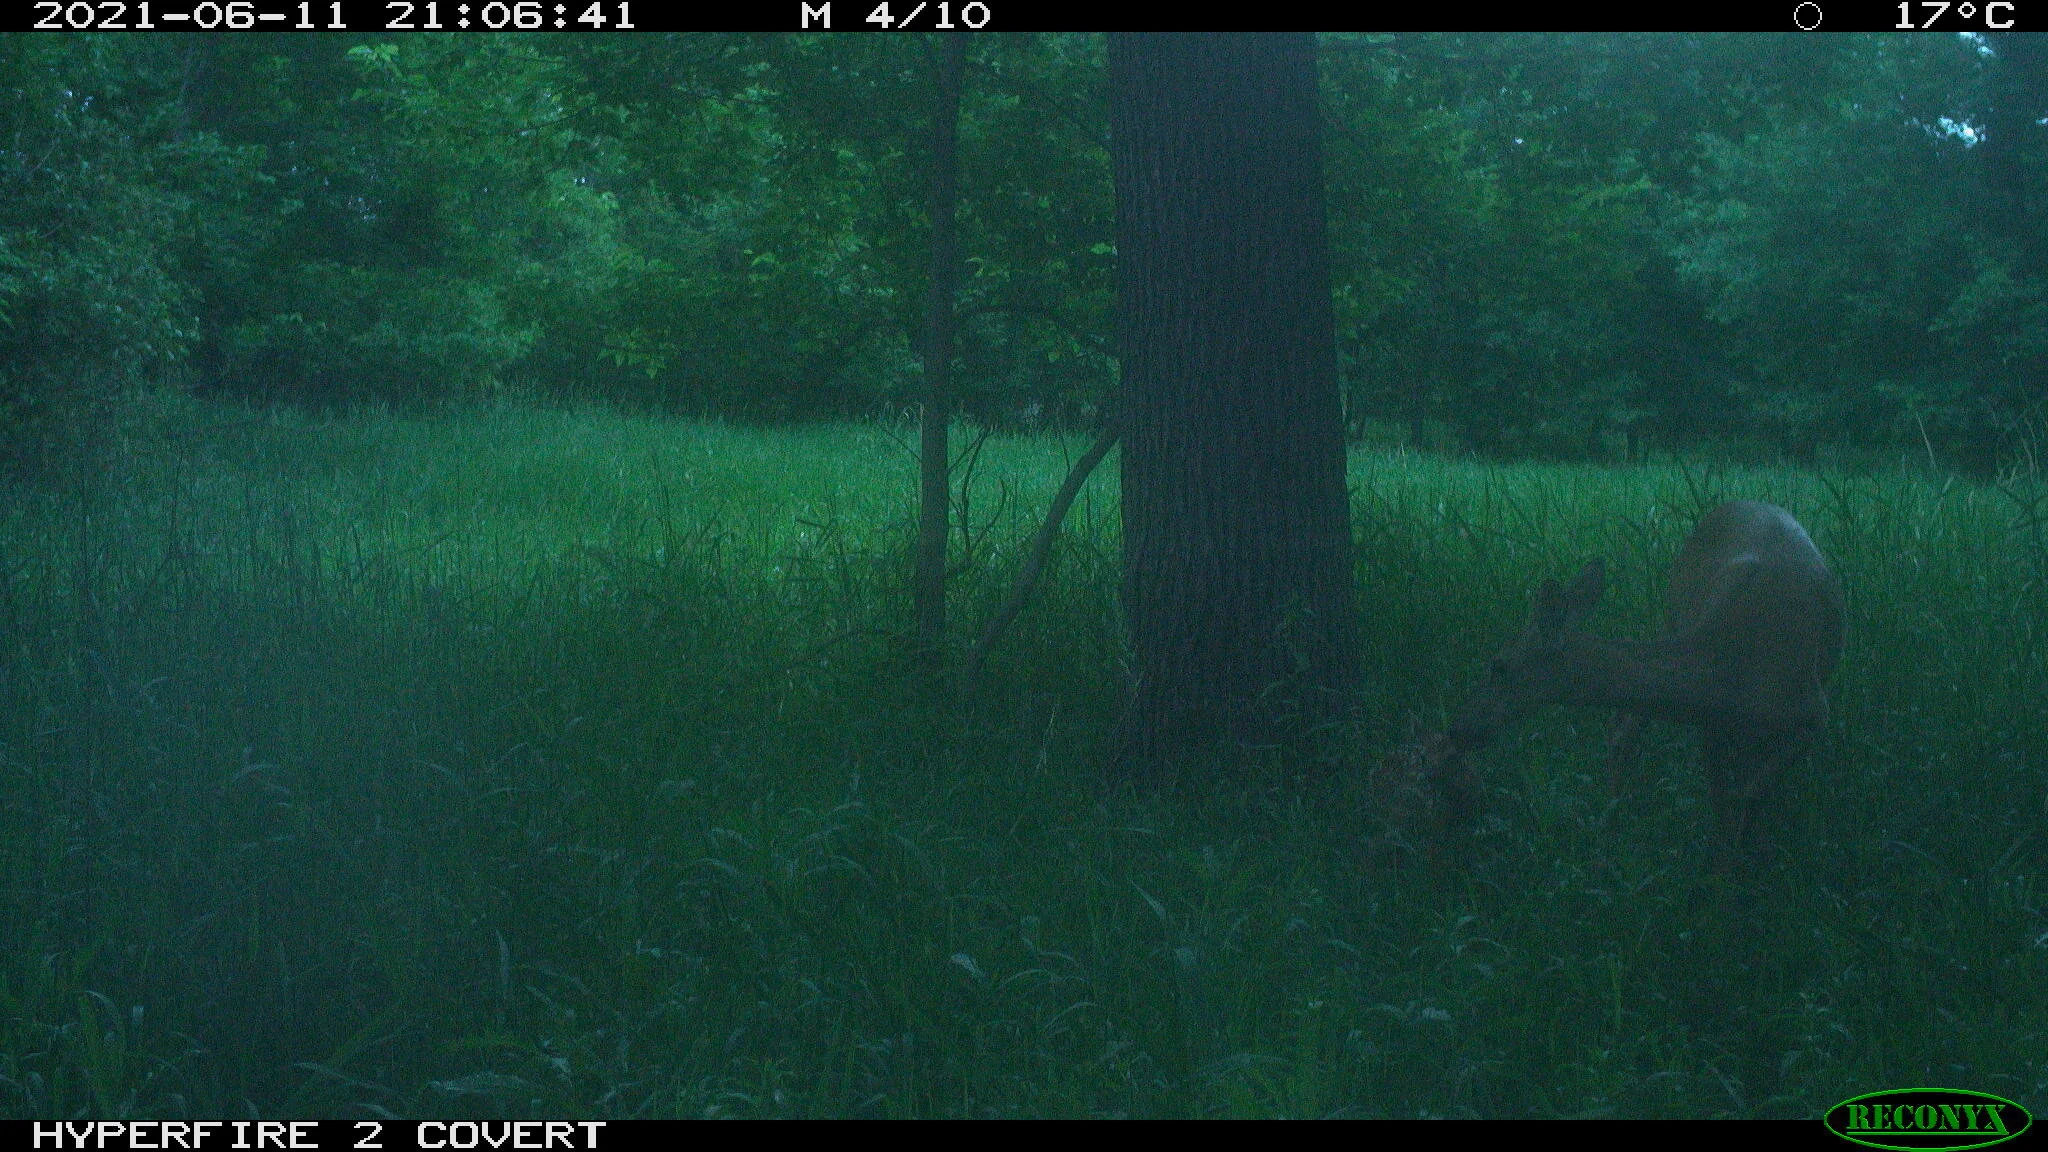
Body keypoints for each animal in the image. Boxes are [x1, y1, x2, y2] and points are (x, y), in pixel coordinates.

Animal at [1420, 500, 1845, 868]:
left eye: (1498, 666)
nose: (1457, 728)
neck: (1733, 671)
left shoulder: (1813, 713)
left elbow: (1751, 793)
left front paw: (1744, 863)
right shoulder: (1709, 723)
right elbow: (1726, 798)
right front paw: (1725, 874)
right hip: (1673, 611)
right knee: (1624, 729)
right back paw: (1609, 833)